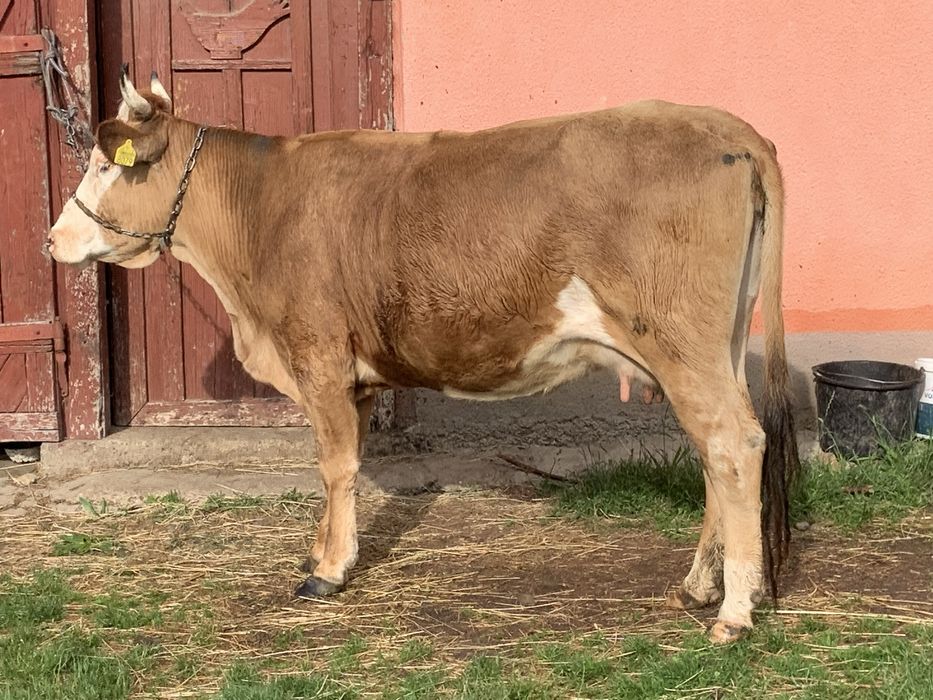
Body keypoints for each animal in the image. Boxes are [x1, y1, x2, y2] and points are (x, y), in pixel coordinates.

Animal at [49, 67, 800, 644]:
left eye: (101, 165)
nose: (52, 241)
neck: (261, 212)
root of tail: (728, 129)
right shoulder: (350, 374)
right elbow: (338, 467)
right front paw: (323, 549)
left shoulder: (318, 354)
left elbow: (337, 466)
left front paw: (327, 570)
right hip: (715, 345)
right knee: (716, 451)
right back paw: (698, 586)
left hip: (681, 341)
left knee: (734, 444)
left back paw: (734, 611)